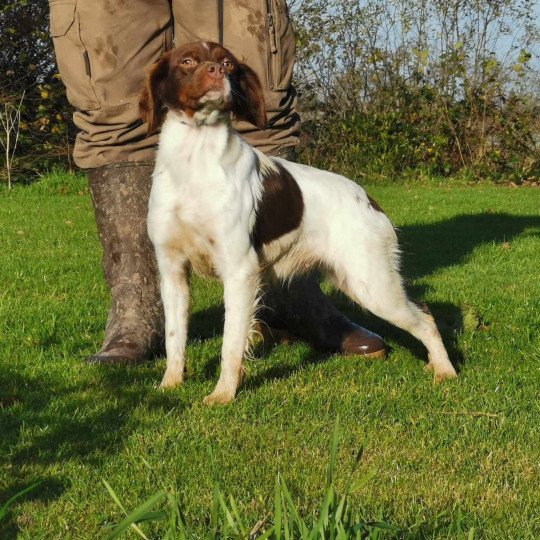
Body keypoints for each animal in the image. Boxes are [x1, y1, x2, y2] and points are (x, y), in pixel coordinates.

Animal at [138, 43, 456, 404]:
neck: (195, 162)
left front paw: (223, 394)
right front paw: (170, 385)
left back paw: (445, 370)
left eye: (228, 63)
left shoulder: (239, 270)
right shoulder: (172, 270)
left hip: (373, 286)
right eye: (187, 61)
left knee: (426, 318)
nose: (216, 72)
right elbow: (174, 338)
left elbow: (231, 344)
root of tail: (369, 200)